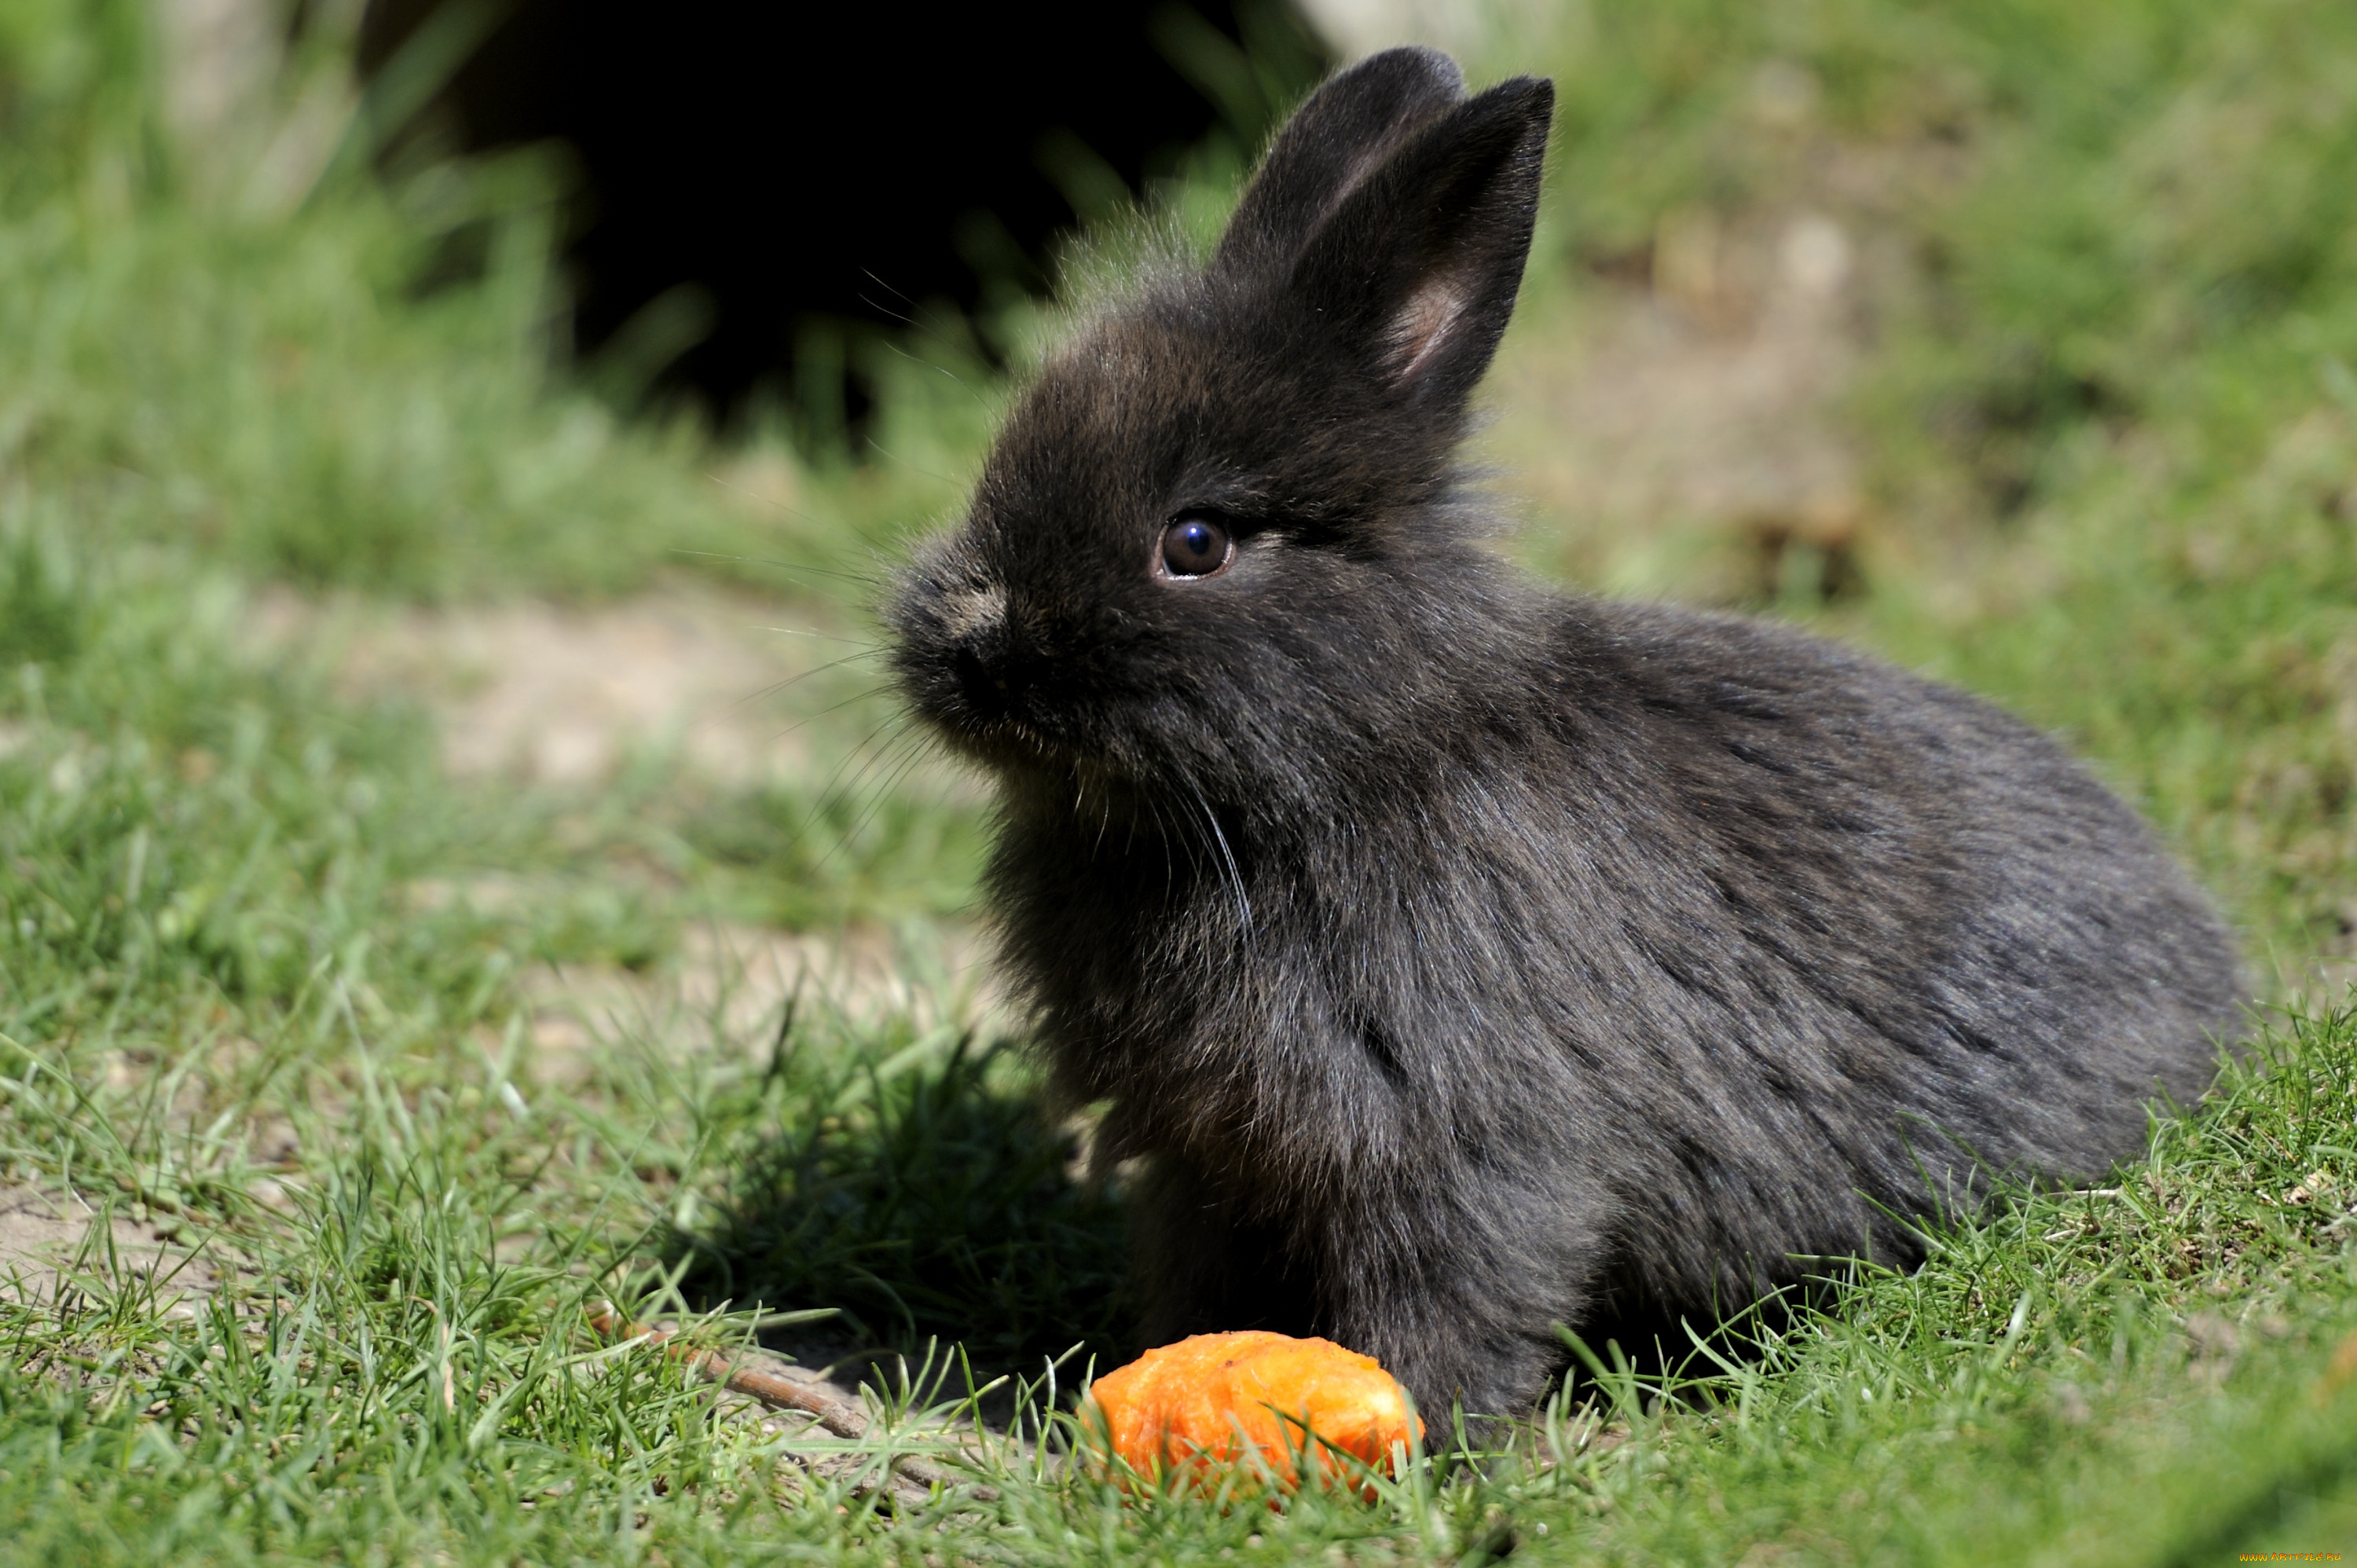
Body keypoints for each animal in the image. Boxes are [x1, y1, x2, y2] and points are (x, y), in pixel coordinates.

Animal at [882, 46, 2225, 1414]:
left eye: (1195, 542)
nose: (971, 651)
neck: (1357, 760)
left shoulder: (1465, 1149)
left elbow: (1462, 1296)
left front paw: (1424, 1432)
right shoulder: (1205, 1167)